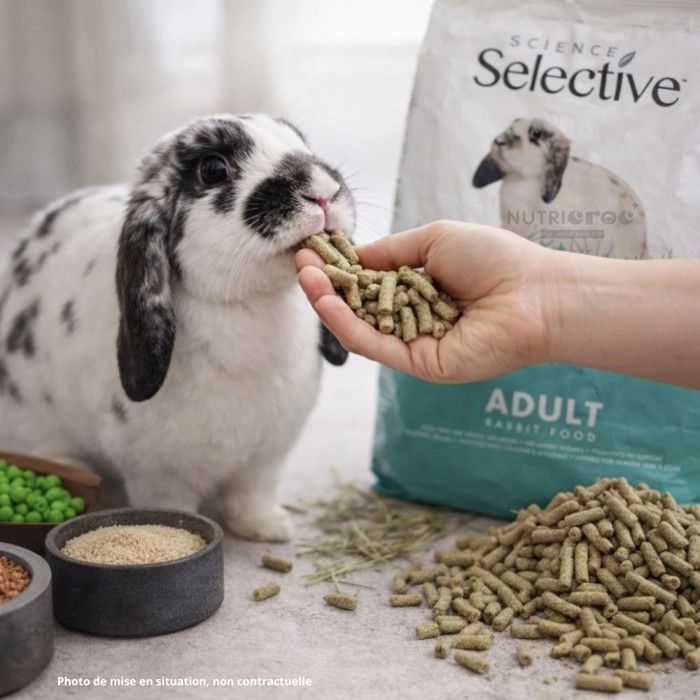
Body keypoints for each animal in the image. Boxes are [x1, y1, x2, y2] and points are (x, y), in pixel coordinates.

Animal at [0, 114, 355, 541]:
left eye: (301, 142)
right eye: (213, 169)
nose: (324, 192)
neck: (248, 304)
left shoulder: (264, 458)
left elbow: (252, 495)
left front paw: (269, 528)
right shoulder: (157, 471)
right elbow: (172, 508)